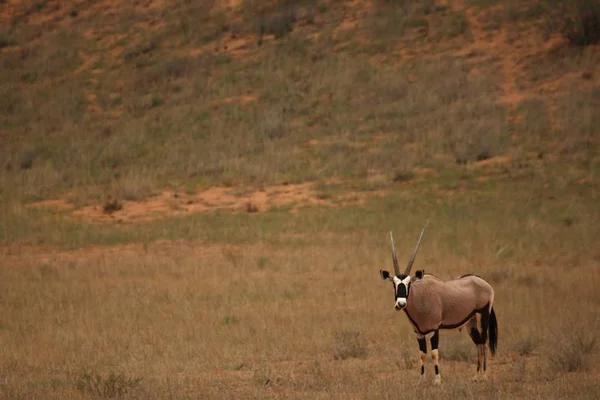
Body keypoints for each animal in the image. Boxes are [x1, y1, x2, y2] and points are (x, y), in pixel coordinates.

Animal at [380, 227, 496, 382]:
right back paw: (476, 376)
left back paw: (484, 375)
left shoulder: (434, 329)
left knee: (484, 343)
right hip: (470, 322)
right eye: (394, 284)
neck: (420, 297)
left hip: (483, 316)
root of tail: (485, 284)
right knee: (478, 343)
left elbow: (434, 353)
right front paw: (422, 379)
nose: (401, 303)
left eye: (409, 284)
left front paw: (437, 380)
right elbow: (422, 354)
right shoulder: (419, 333)